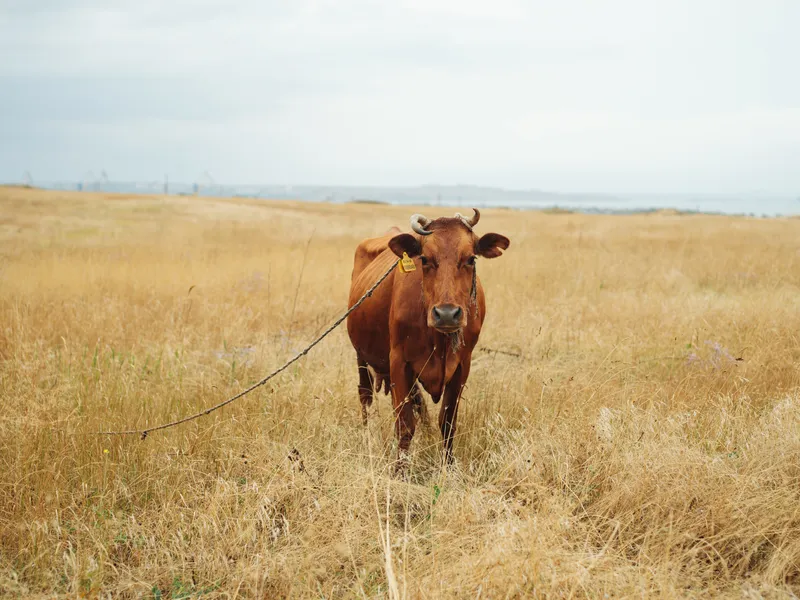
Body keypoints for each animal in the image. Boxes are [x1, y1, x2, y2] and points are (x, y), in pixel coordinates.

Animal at [346, 209, 510, 467]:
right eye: (424, 259)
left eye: (471, 259)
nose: (447, 314)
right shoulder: (398, 362)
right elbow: (404, 426)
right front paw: (400, 471)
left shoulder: (462, 366)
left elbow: (448, 422)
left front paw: (449, 465)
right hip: (361, 356)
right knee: (366, 396)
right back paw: (367, 436)